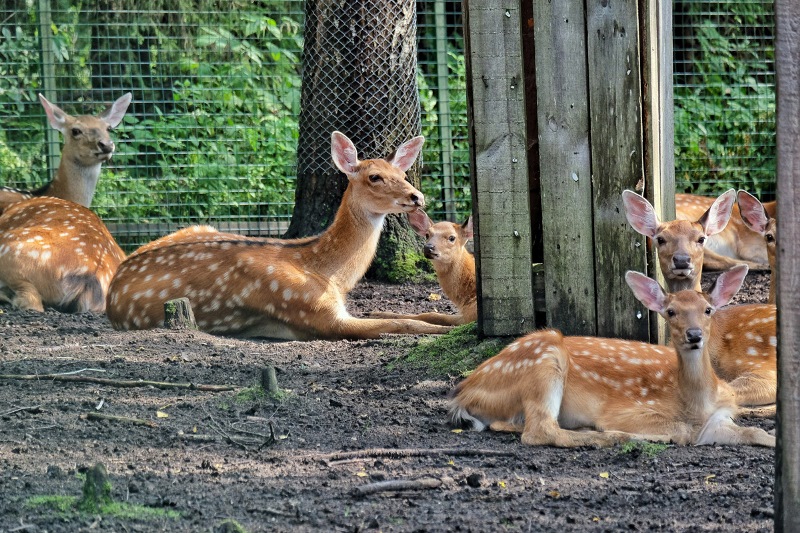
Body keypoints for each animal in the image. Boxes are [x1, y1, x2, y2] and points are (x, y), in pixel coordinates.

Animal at [105, 133, 454, 340]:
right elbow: (404, 323)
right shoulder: (312, 312)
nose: (417, 196)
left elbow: (413, 313)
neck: (328, 275)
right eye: (375, 177)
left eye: (403, 173)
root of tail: (112, 286)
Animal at [446, 264, 772, 446]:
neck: (696, 404)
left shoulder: (720, 417)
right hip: (545, 361)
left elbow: (756, 433)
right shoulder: (627, 410)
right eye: (670, 312)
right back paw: (608, 437)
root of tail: (464, 392)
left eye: (708, 310)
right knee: (539, 431)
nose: (694, 335)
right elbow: (681, 429)